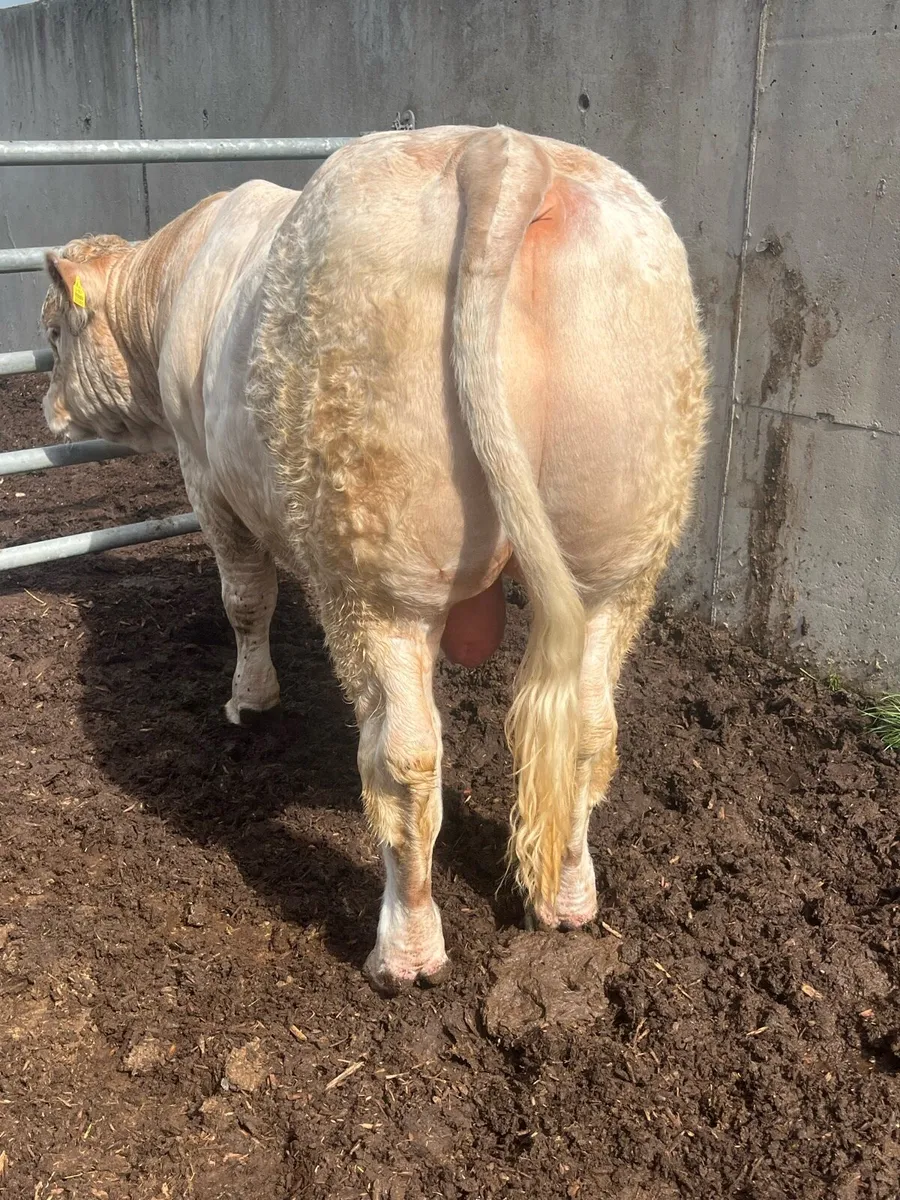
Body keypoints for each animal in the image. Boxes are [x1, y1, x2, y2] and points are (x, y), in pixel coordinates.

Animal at [40, 125, 708, 993]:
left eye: (53, 333)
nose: (47, 413)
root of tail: (505, 151)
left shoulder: (208, 483)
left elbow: (245, 600)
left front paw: (250, 700)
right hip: (615, 556)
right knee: (591, 727)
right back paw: (567, 901)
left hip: (380, 573)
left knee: (406, 760)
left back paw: (406, 950)